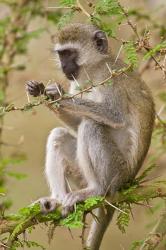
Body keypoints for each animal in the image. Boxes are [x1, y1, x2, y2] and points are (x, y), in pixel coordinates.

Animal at [26, 23, 154, 250]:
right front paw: (45, 93)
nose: (63, 66)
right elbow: (76, 125)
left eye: (69, 53)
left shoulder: (110, 76)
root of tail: (127, 181)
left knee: (91, 126)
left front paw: (57, 95)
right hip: (81, 176)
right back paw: (55, 201)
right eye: (61, 54)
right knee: (59, 135)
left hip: (116, 173)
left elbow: (114, 115)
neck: (93, 69)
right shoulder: (77, 83)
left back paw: (96, 190)